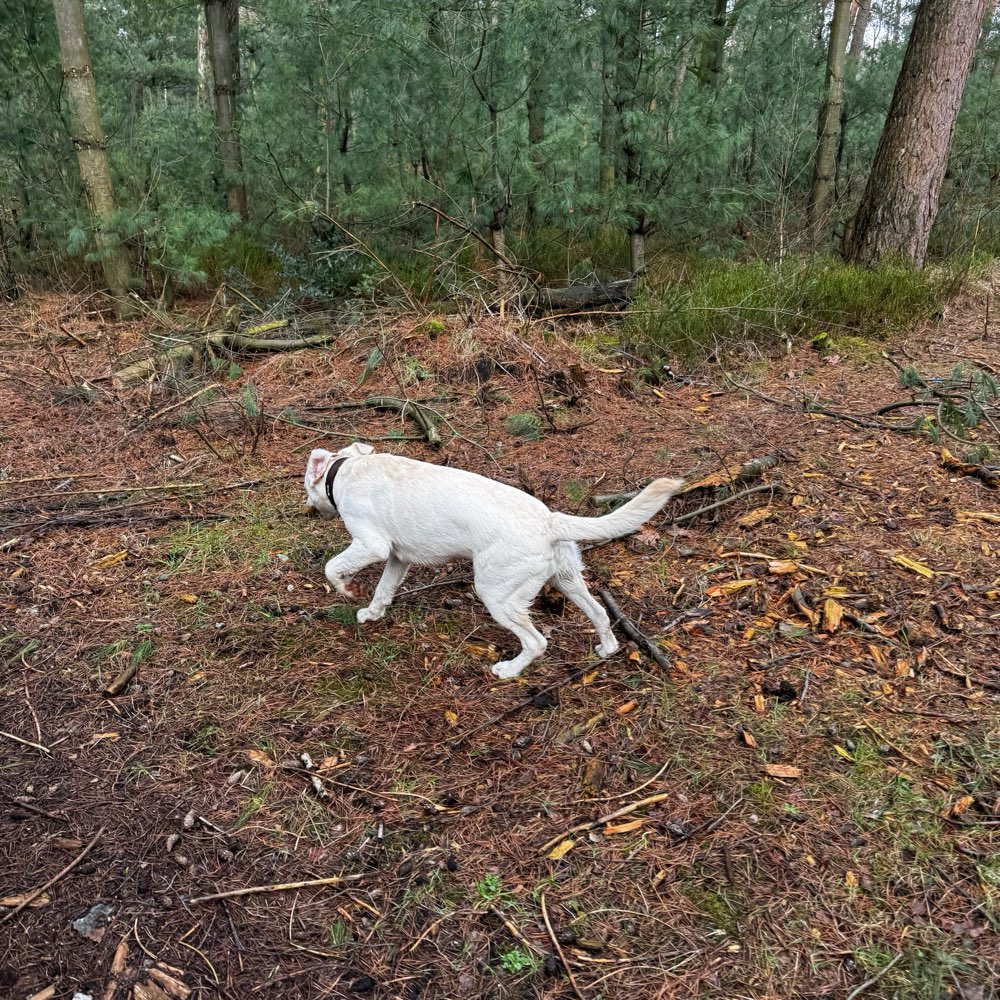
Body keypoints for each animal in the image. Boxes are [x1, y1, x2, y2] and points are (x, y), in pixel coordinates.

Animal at [302, 446, 680, 680]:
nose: (308, 510)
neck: (346, 470)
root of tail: (549, 520)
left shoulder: (373, 546)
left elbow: (332, 568)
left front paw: (348, 589)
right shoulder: (397, 559)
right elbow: (383, 591)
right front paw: (372, 613)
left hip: (497, 595)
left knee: (537, 642)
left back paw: (509, 670)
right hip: (566, 580)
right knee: (600, 613)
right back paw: (606, 647)